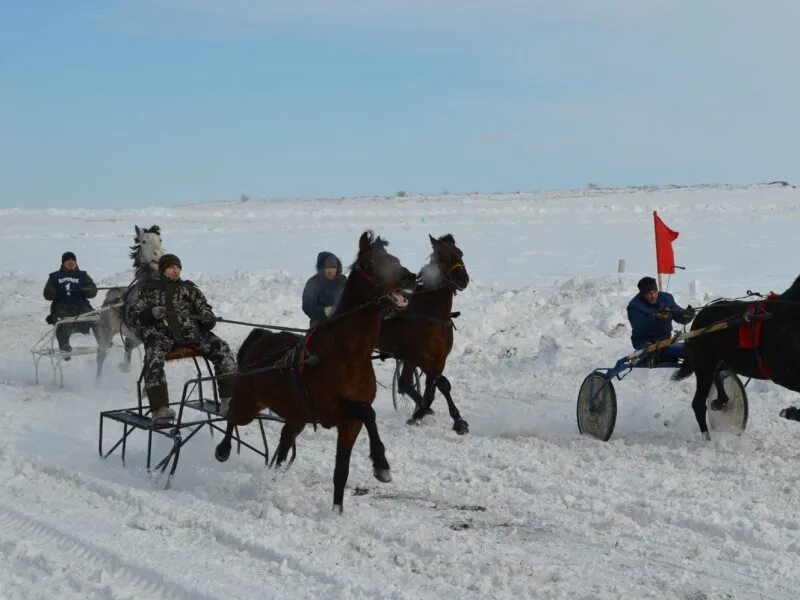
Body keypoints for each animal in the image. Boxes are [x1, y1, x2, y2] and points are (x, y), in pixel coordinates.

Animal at [217, 232, 418, 512]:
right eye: (371, 263)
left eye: (395, 259)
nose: (411, 277)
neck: (347, 355)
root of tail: (260, 337)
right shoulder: (330, 411)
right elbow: (369, 412)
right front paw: (382, 466)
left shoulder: (349, 424)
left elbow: (341, 470)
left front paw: (337, 512)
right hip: (250, 404)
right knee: (233, 416)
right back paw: (223, 450)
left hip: (297, 415)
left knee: (284, 441)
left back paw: (274, 481)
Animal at [376, 232, 468, 434]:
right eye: (441, 257)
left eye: (460, 253)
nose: (463, 279)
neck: (432, 314)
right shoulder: (419, 356)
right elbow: (441, 384)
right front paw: (457, 420)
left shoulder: (439, 357)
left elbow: (434, 386)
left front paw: (422, 411)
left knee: (405, 382)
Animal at [676, 276, 800, 436]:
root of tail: (700, 316)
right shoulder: (783, 375)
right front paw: (789, 412)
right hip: (704, 364)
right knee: (698, 404)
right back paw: (707, 437)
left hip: (718, 360)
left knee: (718, 377)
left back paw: (721, 400)